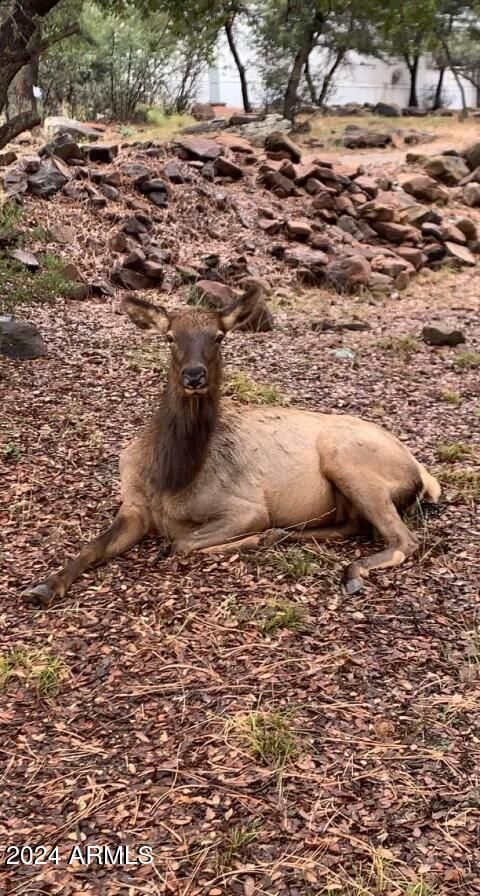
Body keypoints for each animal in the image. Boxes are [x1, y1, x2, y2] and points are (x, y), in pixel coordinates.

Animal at [24, 288, 440, 608]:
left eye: (219, 336)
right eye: (170, 337)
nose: (194, 375)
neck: (170, 478)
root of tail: (422, 473)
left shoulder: (246, 507)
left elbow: (179, 543)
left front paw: (253, 538)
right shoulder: (134, 505)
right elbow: (93, 546)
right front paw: (44, 585)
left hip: (347, 459)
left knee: (403, 538)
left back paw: (349, 570)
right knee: (353, 525)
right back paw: (287, 536)